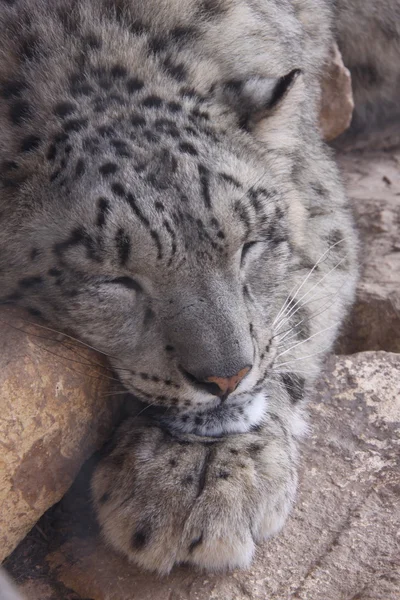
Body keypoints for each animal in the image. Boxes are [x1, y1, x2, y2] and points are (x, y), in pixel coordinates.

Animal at [3, 0, 396, 576]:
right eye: (114, 280)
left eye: (250, 245)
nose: (226, 378)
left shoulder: (318, 196)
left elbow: (296, 312)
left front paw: (201, 473)